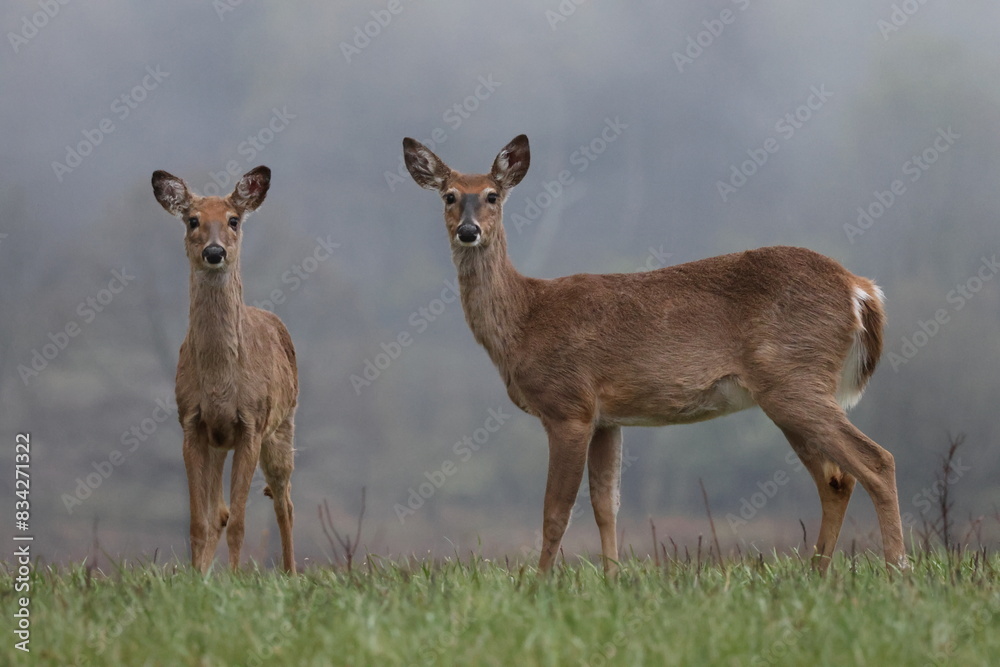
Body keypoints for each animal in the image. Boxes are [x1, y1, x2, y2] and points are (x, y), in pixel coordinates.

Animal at [151, 166, 298, 574]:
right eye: (192, 220)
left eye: (233, 220)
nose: (214, 251)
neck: (219, 383)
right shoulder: (192, 422)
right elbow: (200, 521)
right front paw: (195, 577)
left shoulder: (252, 423)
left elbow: (240, 522)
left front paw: (234, 579)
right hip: (220, 443)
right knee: (218, 510)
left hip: (282, 426)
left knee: (285, 502)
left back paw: (291, 573)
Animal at [403, 134, 910, 576]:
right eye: (449, 196)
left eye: (492, 195)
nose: (469, 231)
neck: (525, 319)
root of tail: (860, 290)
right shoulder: (606, 418)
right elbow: (606, 505)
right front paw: (612, 580)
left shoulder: (569, 406)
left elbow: (556, 511)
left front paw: (538, 584)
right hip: (789, 392)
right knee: (837, 480)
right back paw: (817, 573)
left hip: (794, 378)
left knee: (876, 461)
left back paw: (896, 573)